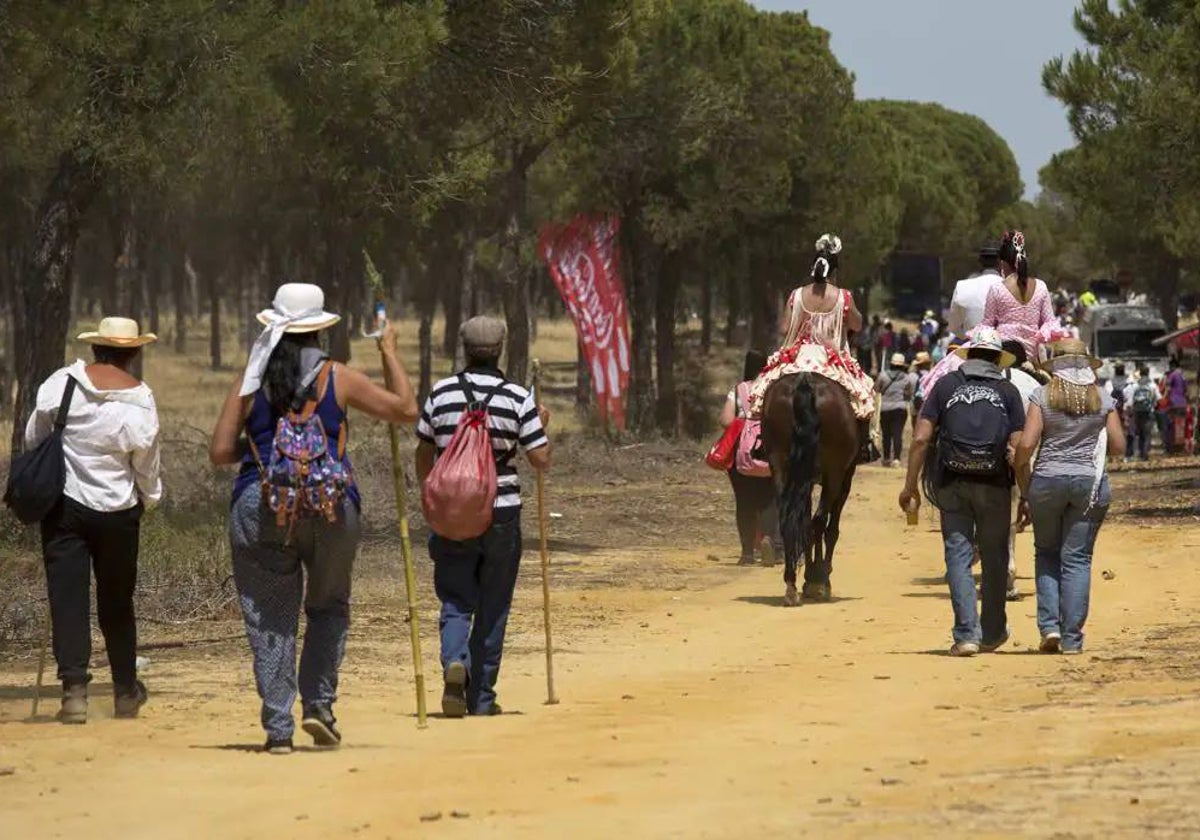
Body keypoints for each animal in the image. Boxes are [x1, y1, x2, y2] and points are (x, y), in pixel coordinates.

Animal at [758, 374, 864, 604]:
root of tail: (805, 381)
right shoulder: (845, 476)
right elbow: (830, 529)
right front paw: (818, 578)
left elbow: (803, 522)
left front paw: (808, 577)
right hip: (834, 473)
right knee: (819, 521)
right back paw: (819, 581)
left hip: (781, 467)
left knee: (790, 520)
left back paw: (791, 584)